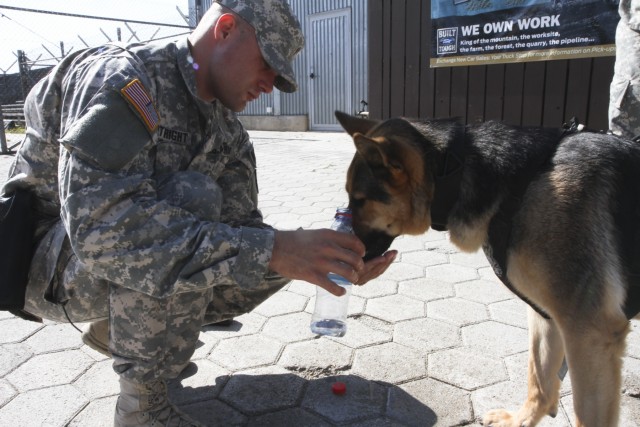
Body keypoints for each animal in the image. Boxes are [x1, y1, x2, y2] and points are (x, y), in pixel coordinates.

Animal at [336, 111, 640, 427]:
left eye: (359, 199)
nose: (348, 246)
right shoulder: (547, 317)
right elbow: (540, 381)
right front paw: (521, 421)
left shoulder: (589, 334)